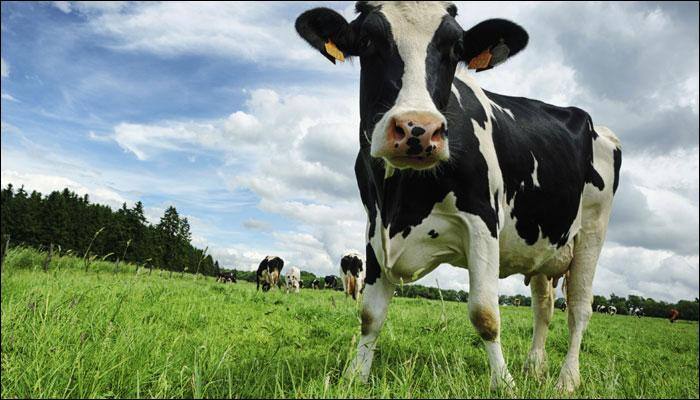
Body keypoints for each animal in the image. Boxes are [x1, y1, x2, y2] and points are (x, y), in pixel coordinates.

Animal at [296, 1, 621, 392]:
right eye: (368, 40)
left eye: (454, 48)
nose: (417, 128)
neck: (400, 199)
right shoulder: (374, 229)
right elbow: (370, 314)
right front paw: (355, 377)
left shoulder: (482, 221)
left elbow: (485, 313)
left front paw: (505, 385)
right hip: (544, 244)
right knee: (543, 307)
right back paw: (534, 368)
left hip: (592, 230)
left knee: (579, 308)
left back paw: (566, 380)